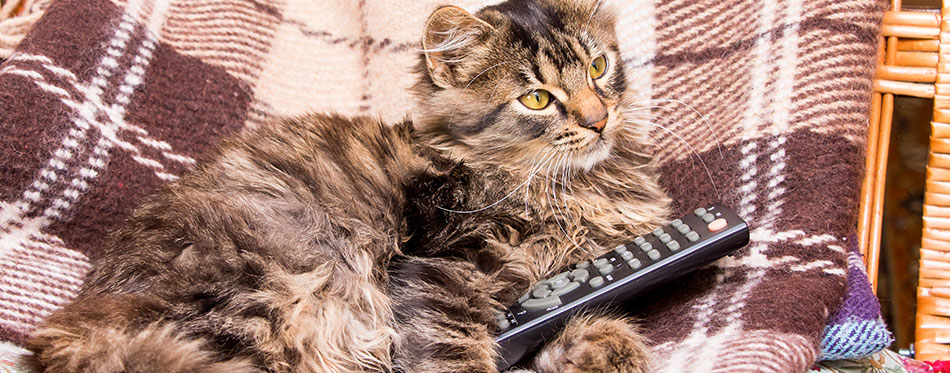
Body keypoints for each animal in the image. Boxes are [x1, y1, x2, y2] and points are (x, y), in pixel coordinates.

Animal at [27, 0, 668, 372]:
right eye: (536, 98)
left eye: (598, 68)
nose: (599, 120)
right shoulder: (439, 267)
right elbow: (456, 354)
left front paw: (602, 347)